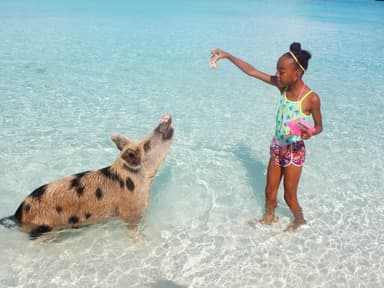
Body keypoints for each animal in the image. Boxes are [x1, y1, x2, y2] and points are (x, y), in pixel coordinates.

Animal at [0, 113, 174, 237]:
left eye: (144, 141)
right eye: (147, 145)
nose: (165, 118)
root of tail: (17, 215)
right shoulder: (131, 213)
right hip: (44, 230)